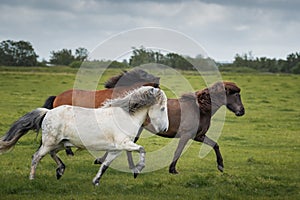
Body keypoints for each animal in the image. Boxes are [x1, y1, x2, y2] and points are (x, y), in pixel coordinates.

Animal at [0, 86, 169, 186]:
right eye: (162, 108)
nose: (165, 128)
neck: (126, 116)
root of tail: (48, 112)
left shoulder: (115, 149)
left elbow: (105, 165)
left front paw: (96, 181)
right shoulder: (124, 144)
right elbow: (142, 149)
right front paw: (137, 170)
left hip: (60, 143)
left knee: (52, 154)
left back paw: (60, 170)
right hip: (50, 142)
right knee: (36, 156)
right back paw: (32, 178)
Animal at [96, 81, 246, 173]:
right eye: (236, 94)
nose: (242, 111)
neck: (200, 108)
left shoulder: (198, 136)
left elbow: (215, 145)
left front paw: (220, 166)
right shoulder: (186, 136)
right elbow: (178, 151)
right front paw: (172, 169)